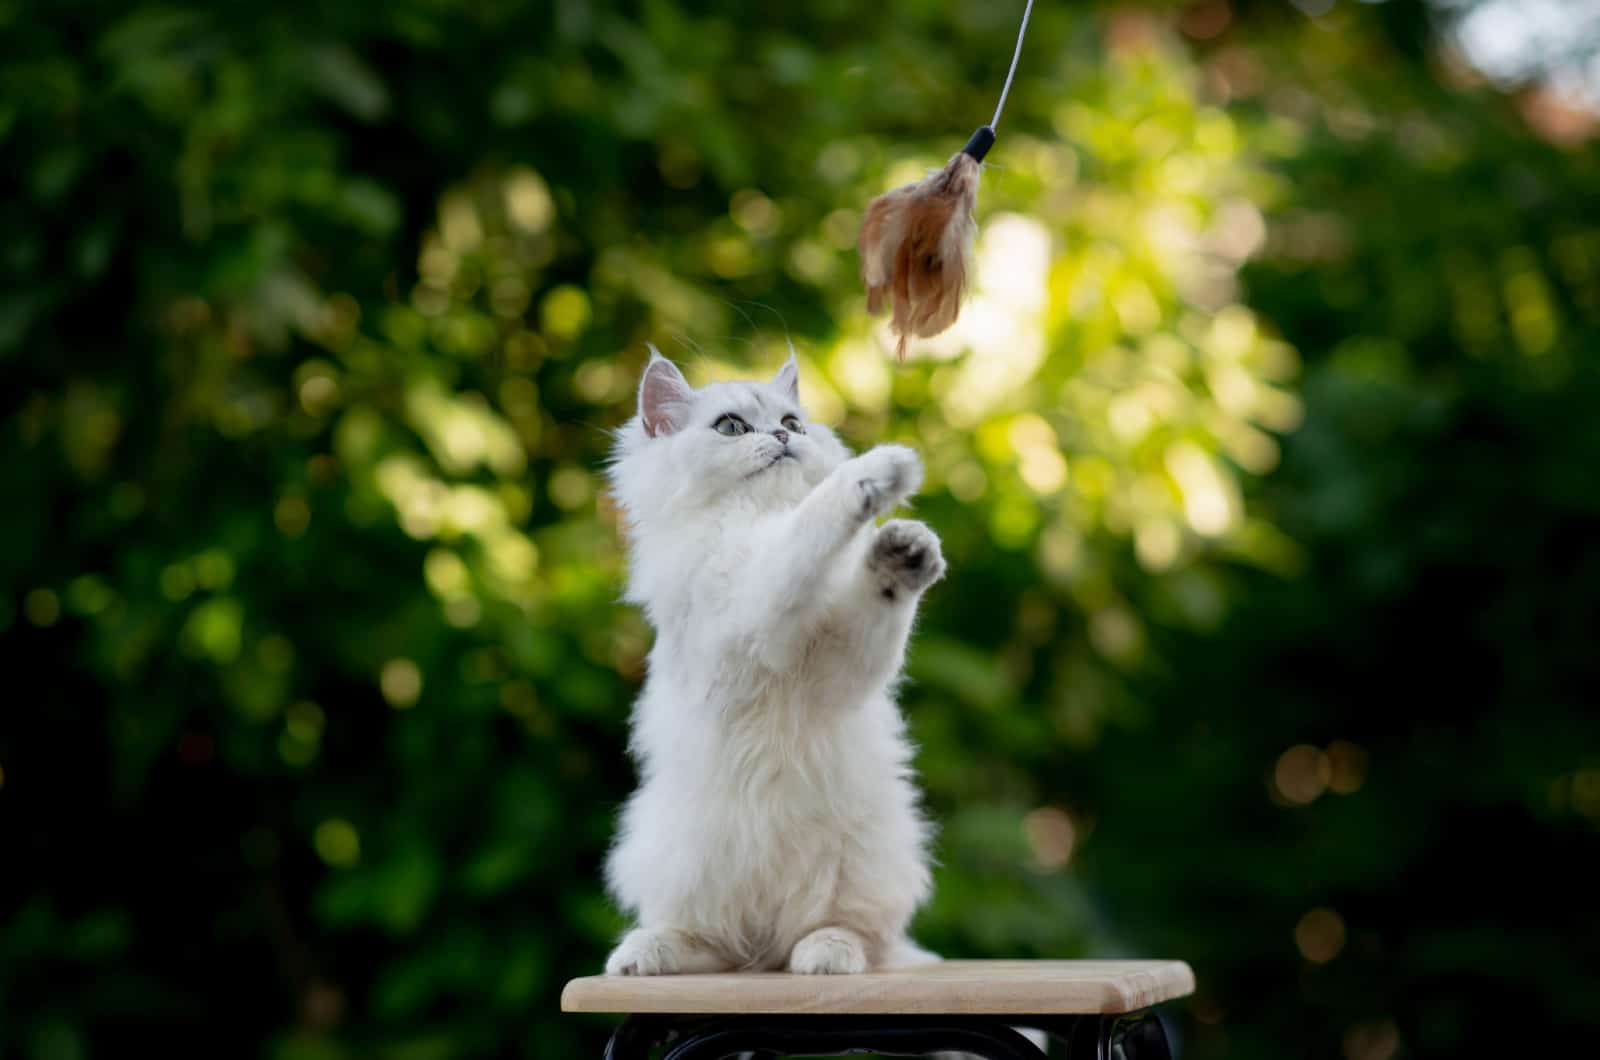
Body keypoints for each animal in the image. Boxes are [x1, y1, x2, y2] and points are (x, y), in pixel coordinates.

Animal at [601, 350, 947, 979]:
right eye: (731, 426)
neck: (752, 516)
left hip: (867, 861)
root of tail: (766, 946)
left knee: (850, 937)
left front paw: (906, 550)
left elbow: (869, 595)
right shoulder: (753, 607)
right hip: (674, 857)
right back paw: (642, 955)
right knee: (716, 943)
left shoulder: (838, 663)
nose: (784, 437)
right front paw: (881, 471)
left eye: (793, 422)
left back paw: (824, 955)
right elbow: (805, 529)